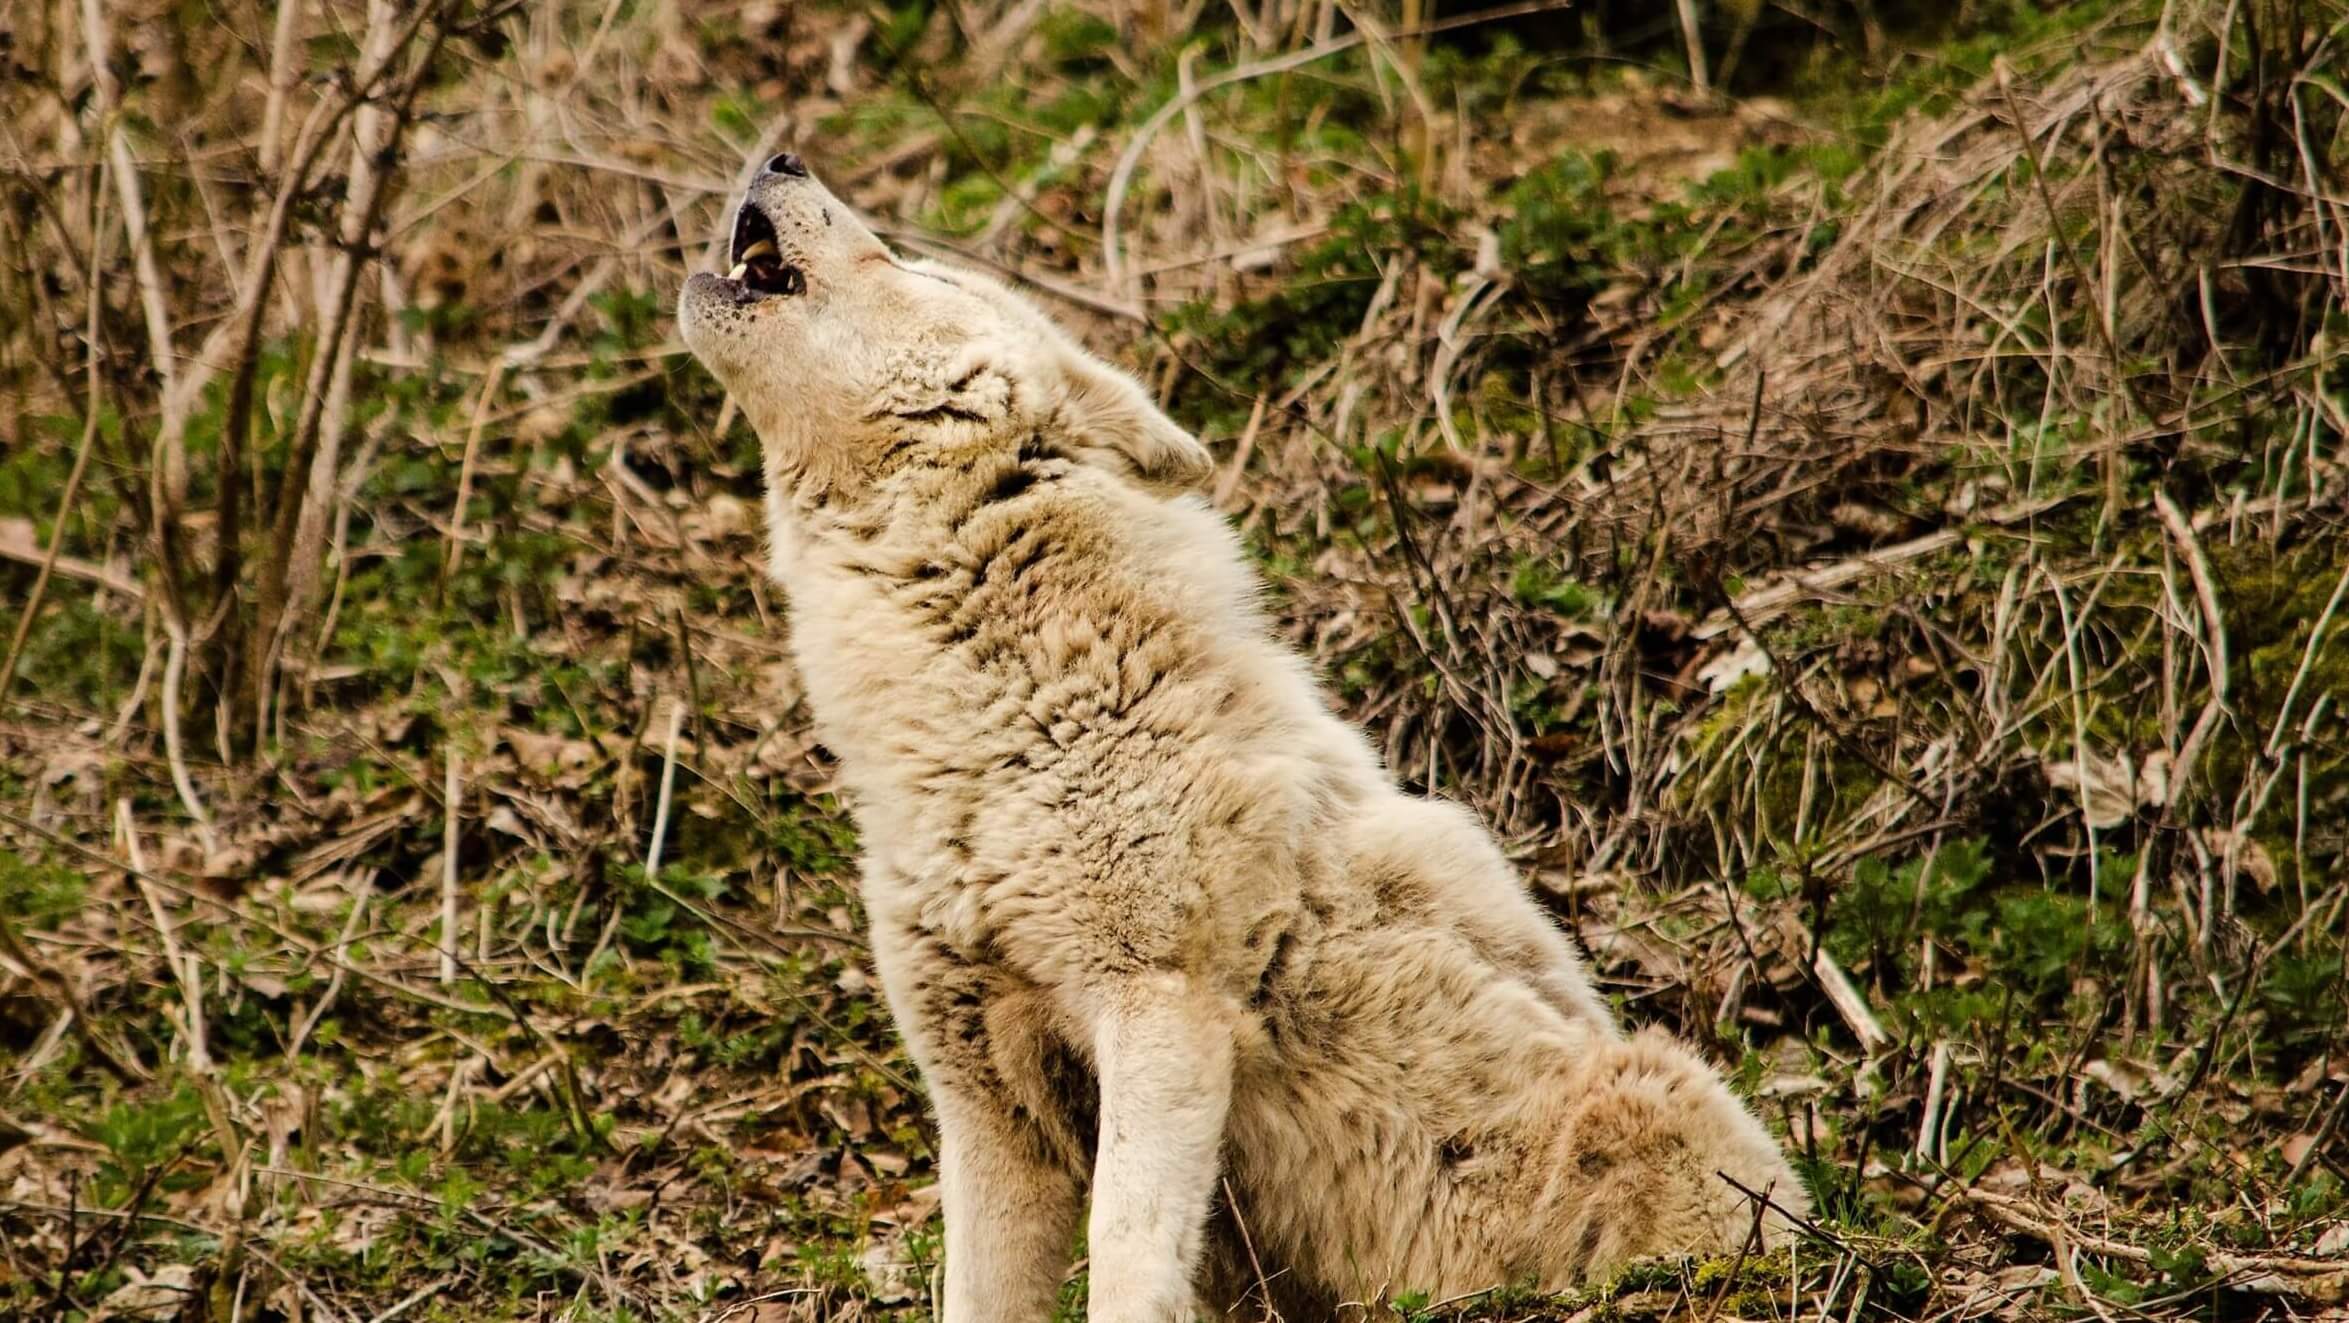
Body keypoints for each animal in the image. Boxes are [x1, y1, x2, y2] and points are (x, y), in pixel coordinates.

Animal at [677, 152, 1807, 1323]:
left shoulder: (1162, 1011)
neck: (995, 717)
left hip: (1656, 1087)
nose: (781, 156)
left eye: (915, 269)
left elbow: (1125, 1257)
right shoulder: (988, 1095)